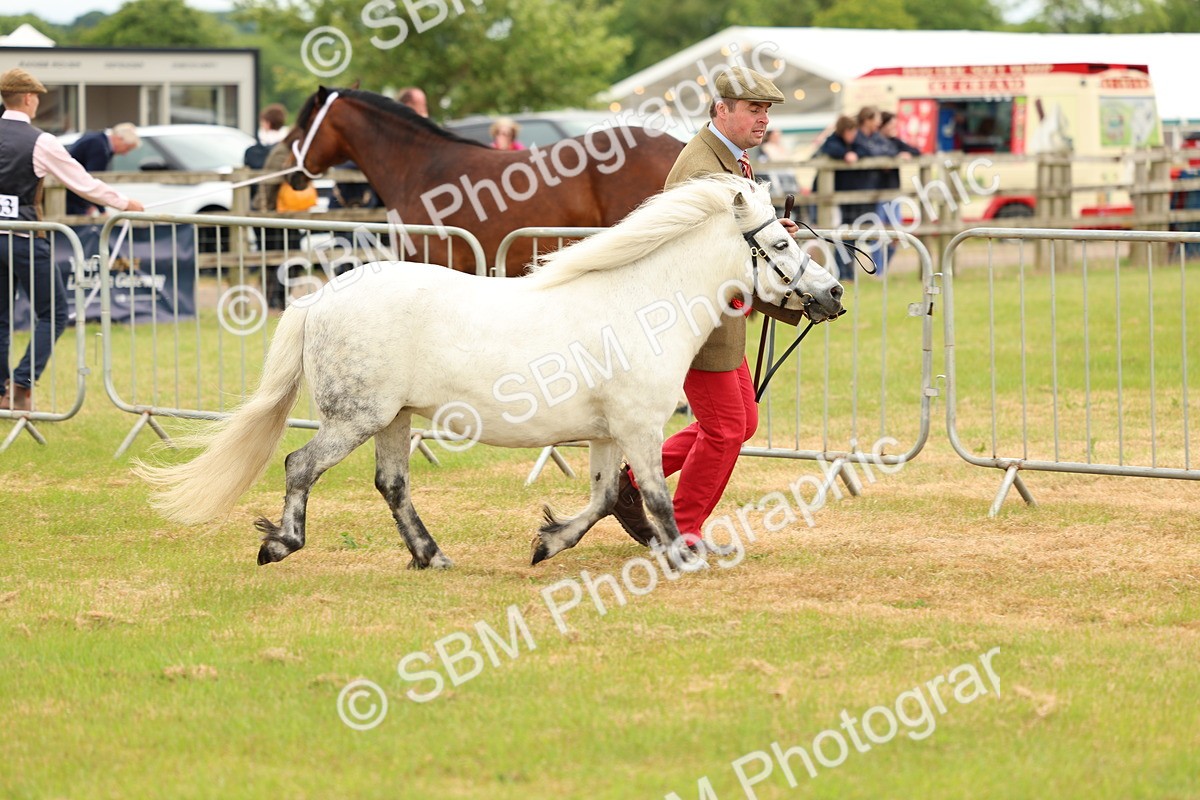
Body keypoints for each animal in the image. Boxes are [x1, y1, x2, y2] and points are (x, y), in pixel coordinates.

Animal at [135, 175, 844, 568]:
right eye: (780, 243)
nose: (833, 293)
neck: (641, 304)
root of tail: (323, 296)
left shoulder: (607, 433)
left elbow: (603, 497)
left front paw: (547, 544)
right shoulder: (639, 428)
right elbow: (658, 499)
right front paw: (677, 558)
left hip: (394, 420)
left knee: (392, 485)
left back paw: (432, 557)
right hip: (356, 417)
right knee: (300, 465)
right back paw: (281, 544)